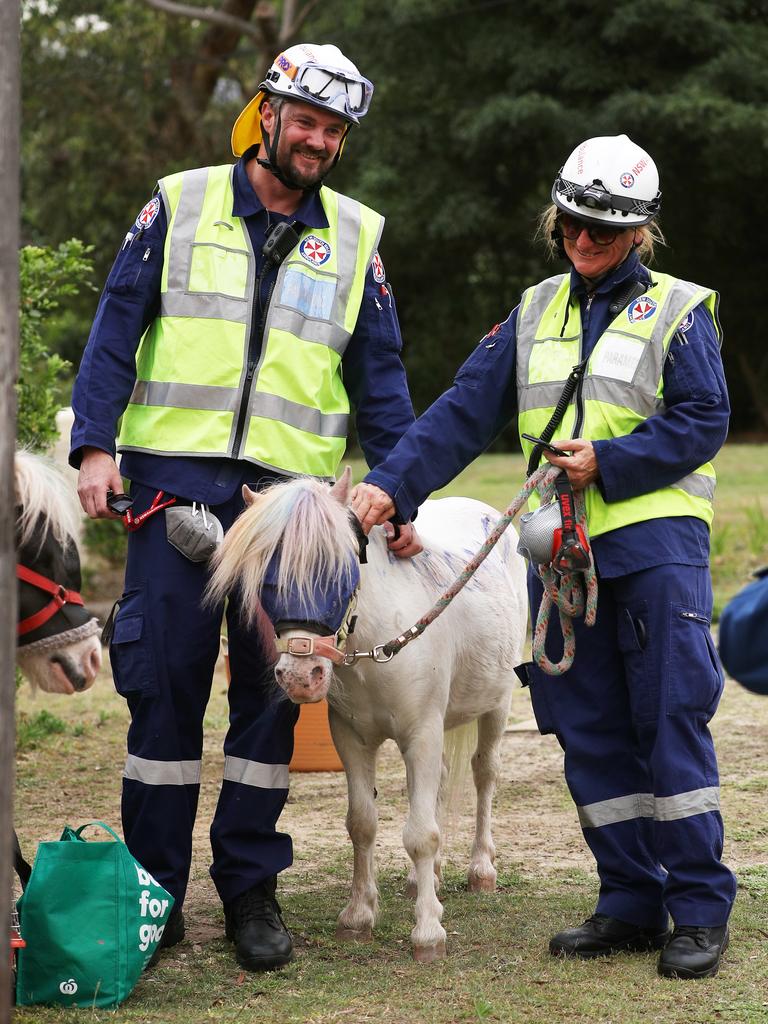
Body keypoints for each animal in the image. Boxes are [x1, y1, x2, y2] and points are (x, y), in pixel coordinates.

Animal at [210, 471, 528, 958]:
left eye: (340, 571)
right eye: (266, 577)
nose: (300, 676)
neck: (379, 642)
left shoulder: (421, 734)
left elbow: (421, 834)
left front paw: (428, 933)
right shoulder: (352, 739)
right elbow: (362, 824)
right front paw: (358, 917)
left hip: (497, 703)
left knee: (484, 775)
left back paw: (481, 871)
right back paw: (426, 879)